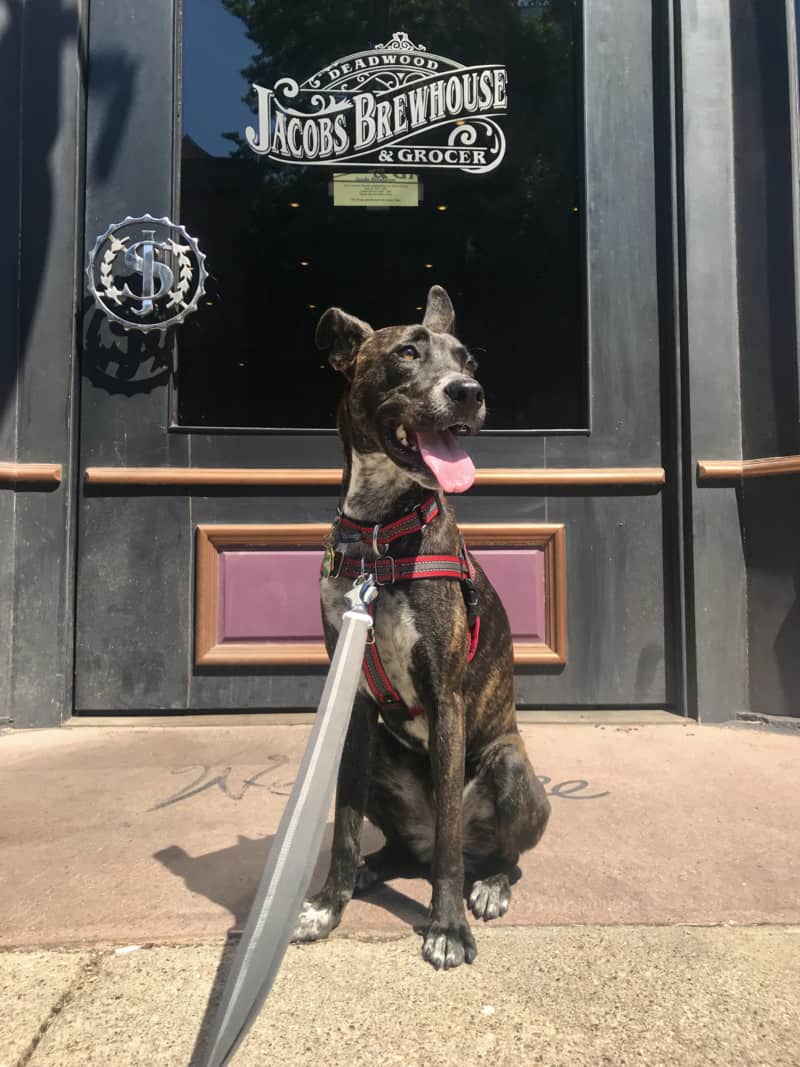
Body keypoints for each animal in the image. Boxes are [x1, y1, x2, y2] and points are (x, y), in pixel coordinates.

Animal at [294, 283, 550, 968]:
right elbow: (345, 820)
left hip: (510, 767)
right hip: (385, 758)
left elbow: (452, 842)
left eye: (470, 360)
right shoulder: (353, 704)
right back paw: (373, 870)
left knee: (491, 852)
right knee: (406, 847)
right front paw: (327, 903)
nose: (469, 392)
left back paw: (488, 886)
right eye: (406, 352)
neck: (381, 533)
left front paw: (447, 926)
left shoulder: (446, 696)